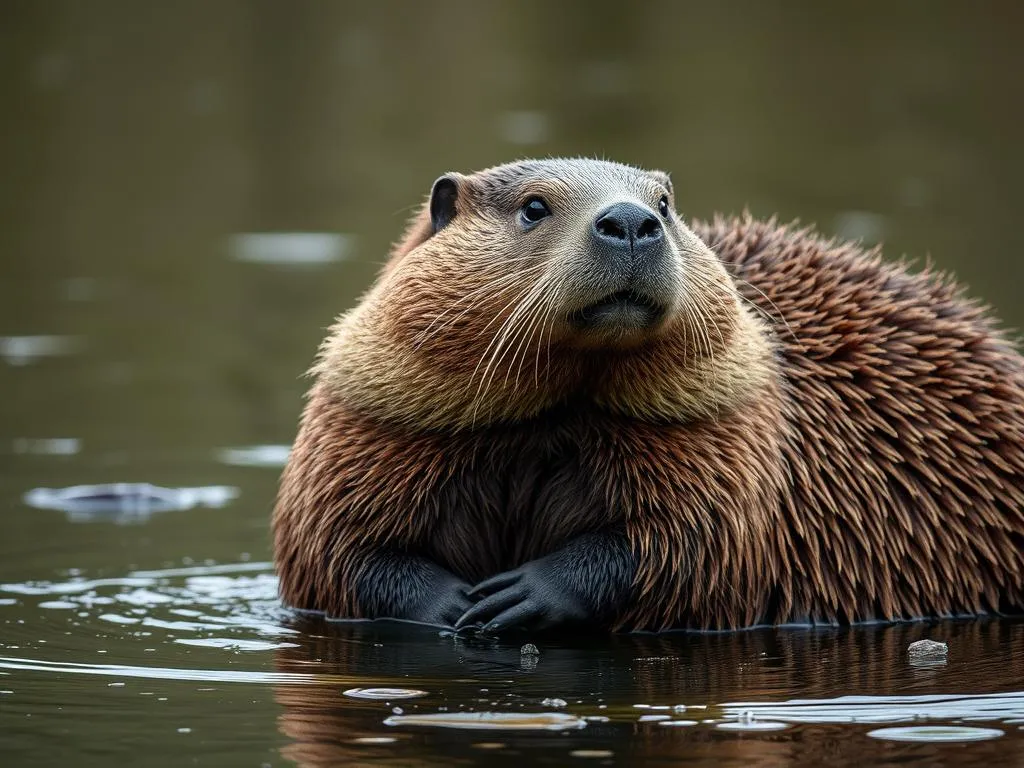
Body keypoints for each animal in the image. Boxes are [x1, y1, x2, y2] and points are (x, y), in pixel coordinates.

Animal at [272, 159, 1024, 634]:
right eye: (534, 206)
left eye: (664, 202)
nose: (631, 220)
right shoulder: (365, 427)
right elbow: (334, 549)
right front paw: (453, 604)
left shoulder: (727, 435)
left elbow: (690, 543)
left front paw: (525, 592)